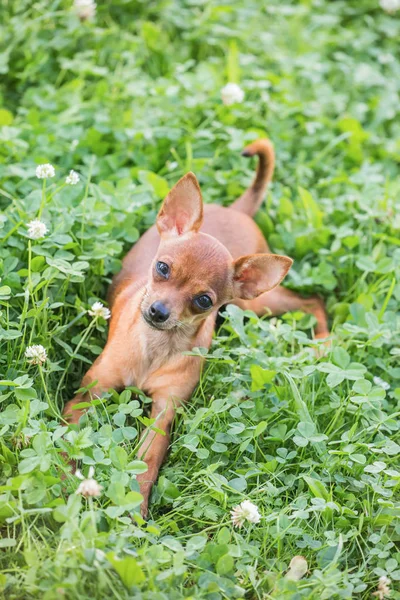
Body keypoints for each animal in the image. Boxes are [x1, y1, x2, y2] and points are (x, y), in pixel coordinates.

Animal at [64, 141, 328, 516]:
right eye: (162, 268)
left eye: (203, 300)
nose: (158, 311)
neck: (156, 347)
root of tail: (235, 209)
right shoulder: (88, 395)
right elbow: (67, 440)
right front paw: (63, 483)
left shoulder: (163, 413)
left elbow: (147, 462)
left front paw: (134, 511)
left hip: (253, 304)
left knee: (313, 300)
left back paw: (323, 344)